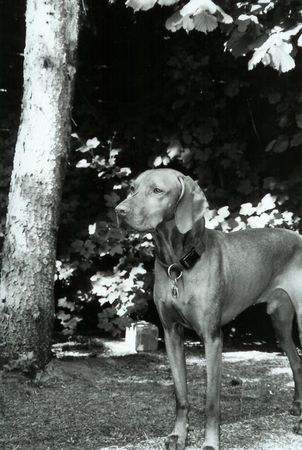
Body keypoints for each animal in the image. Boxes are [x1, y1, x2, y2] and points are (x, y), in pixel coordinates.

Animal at [115, 169, 302, 450]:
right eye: (132, 188)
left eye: (157, 190)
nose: (119, 211)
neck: (178, 265)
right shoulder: (171, 334)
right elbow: (181, 395)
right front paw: (178, 435)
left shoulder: (212, 338)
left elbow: (211, 401)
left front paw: (211, 442)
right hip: (280, 322)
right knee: (297, 362)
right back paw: (298, 408)